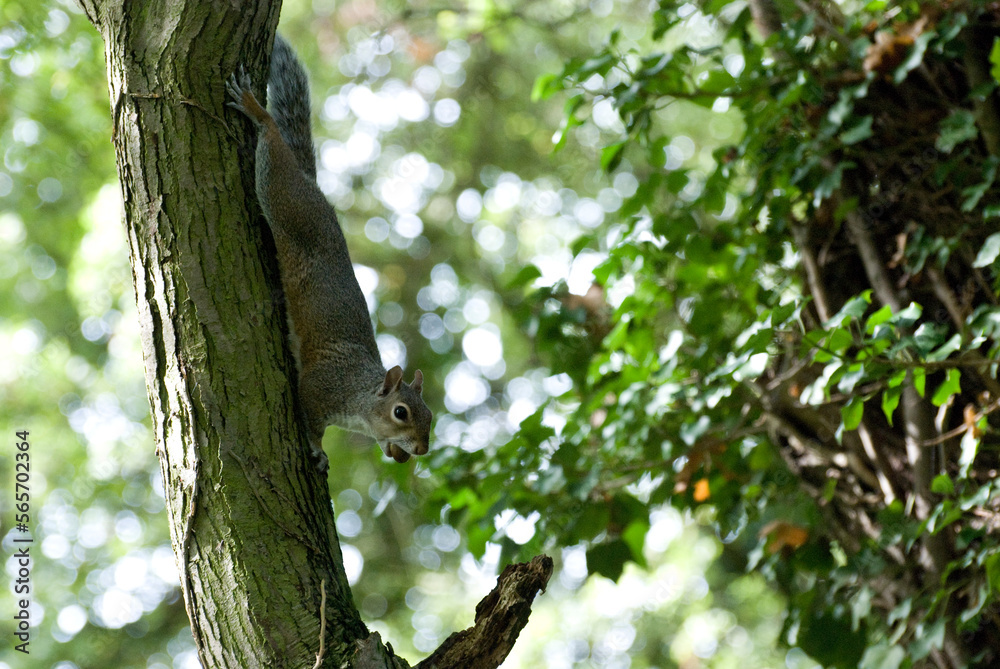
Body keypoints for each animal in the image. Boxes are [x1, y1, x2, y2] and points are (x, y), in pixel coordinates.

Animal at [226, 36, 432, 468]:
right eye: (401, 412)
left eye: (431, 416)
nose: (421, 449)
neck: (360, 396)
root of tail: (313, 187)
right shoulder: (318, 389)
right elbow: (312, 422)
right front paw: (318, 452)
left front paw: (393, 452)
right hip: (284, 198)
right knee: (272, 147)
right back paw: (255, 110)